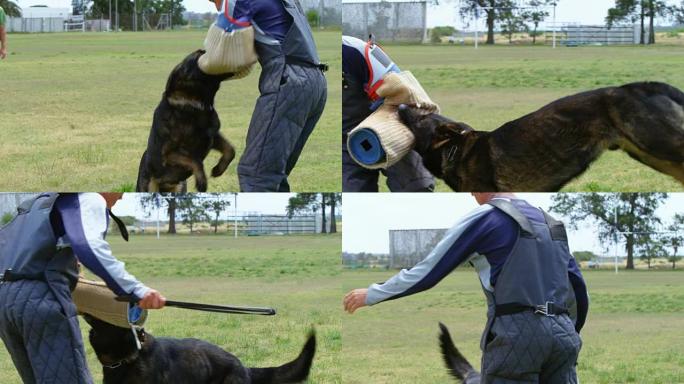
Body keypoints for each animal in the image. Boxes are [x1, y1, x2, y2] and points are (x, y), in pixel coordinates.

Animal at [136, 49, 238, 192]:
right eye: (200, 54)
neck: (196, 103)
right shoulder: (169, 154)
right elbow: (196, 161)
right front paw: (201, 182)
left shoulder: (212, 137)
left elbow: (231, 150)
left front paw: (218, 170)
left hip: (179, 189)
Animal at [398, 82, 684, 191]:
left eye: (420, 116)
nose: (400, 106)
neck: (454, 149)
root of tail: (640, 86)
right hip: (649, 153)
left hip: (656, 143)